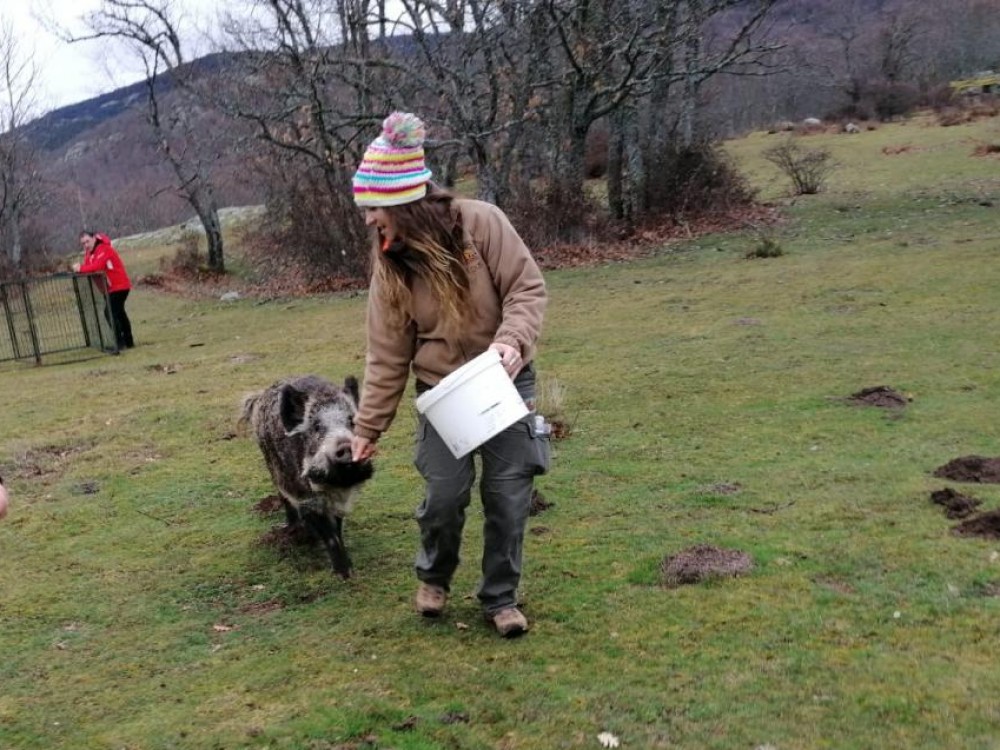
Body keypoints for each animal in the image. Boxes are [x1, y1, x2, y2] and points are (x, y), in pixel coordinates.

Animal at [241, 375, 373, 578]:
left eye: (352, 421)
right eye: (317, 426)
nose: (346, 447)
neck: (335, 485)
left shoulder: (340, 501)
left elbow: (337, 527)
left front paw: (350, 572)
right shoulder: (305, 497)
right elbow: (329, 533)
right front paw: (344, 574)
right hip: (273, 468)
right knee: (283, 497)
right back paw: (292, 529)